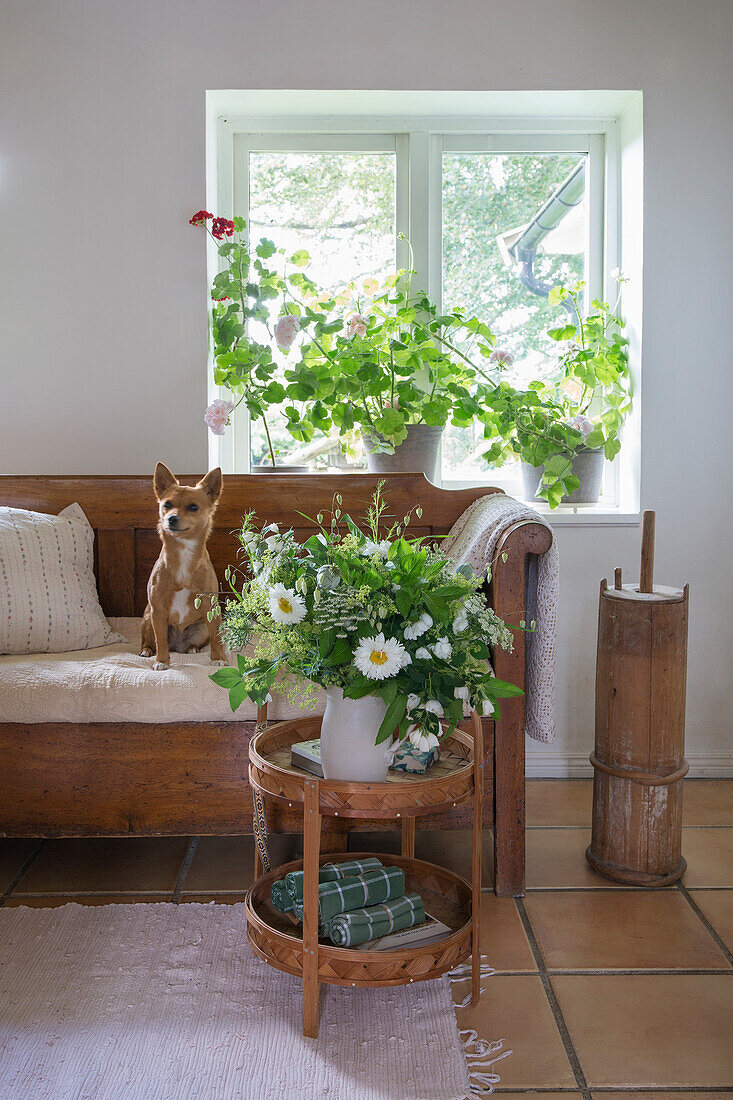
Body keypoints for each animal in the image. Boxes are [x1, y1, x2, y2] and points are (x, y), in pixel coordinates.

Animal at [139, 457, 225, 664]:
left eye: (193, 507)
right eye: (167, 504)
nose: (171, 518)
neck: (184, 551)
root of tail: (177, 647)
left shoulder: (211, 607)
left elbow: (216, 639)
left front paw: (219, 659)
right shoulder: (158, 609)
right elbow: (161, 640)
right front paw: (162, 662)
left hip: (201, 627)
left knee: (199, 641)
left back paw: (193, 649)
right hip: (147, 620)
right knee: (150, 641)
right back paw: (147, 651)